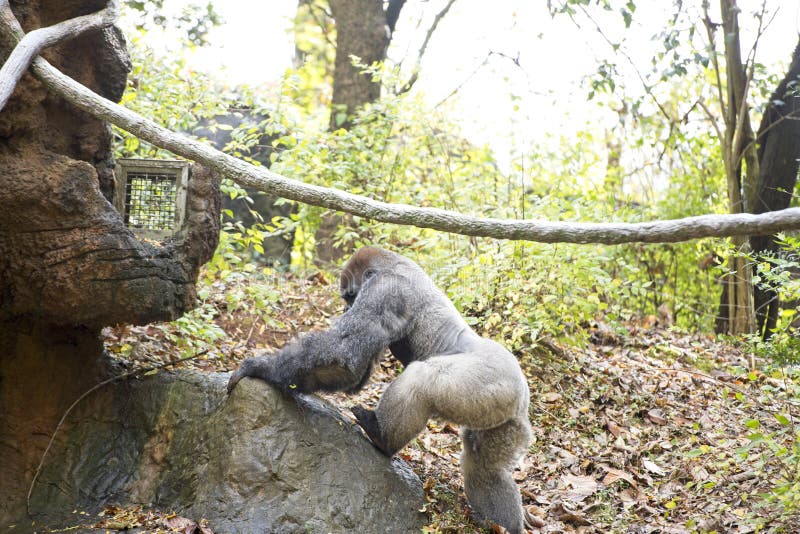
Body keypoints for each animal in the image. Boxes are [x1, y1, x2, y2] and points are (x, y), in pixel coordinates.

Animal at [228, 248, 536, 534]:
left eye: (350, 296)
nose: (344, 310)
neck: (394, 264)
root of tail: (522, 394)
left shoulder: (385, 289)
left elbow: (343, 354)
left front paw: (262, 368)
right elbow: (349, 371)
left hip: (492, 379)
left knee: (422, 379)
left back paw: (383, 437)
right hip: (503, 412)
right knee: (484, 466)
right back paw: (500, 524)